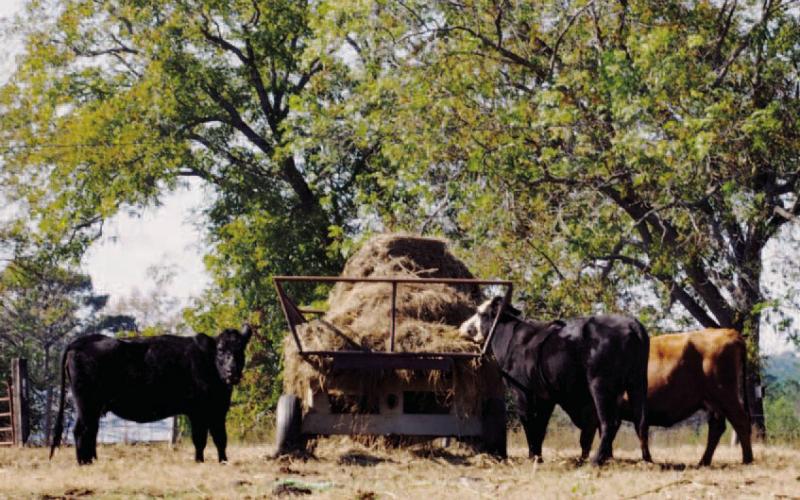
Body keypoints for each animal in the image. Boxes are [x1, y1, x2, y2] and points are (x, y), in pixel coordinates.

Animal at [50, 326, 252, 465]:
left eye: (241, 350)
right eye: (220, 350)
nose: (232, 371)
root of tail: (82, 341)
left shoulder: (218, 410)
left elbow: (220, 438)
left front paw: (223, 461)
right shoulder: (198, 411)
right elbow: (200, 440)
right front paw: (199, 461)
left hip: (93, 406)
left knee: (90, 430)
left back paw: (92, 460)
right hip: (86, 402)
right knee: (81, 431)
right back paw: (84, 463)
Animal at [459, 297, 649, 465]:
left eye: (480, 312)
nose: (463, 327)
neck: (511, 339)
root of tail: (631, 323)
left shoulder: (522, 392)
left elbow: (528, 422)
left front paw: (532, 457)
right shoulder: (545, 397)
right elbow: (541, 427)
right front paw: (538, 457)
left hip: (600, 385)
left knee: (610, 423)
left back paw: (596, 461)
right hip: (637, 383)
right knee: (640, 421)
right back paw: (646, 460)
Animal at [609, 328, 753, 465]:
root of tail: (729, 332)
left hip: (725, 396)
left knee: (741, 421)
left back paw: (747, 460)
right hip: (714, 402)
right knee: (717, 427)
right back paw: (703, 462)